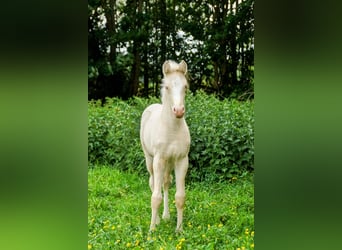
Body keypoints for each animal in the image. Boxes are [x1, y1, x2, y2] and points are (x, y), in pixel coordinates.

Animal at [140, 59, 191, 231]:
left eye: (185, 87)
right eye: (167, 87)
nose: (179, 111)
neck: (172, 129)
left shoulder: (182, 160)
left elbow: (180, 197)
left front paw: (179, 229)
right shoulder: (159, 160)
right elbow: (155, 197)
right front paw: (151, 231)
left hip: (170, 162)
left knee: (166, 183)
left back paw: (166, 216)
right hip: (150, 159)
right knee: (153, 183)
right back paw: (156, 221)